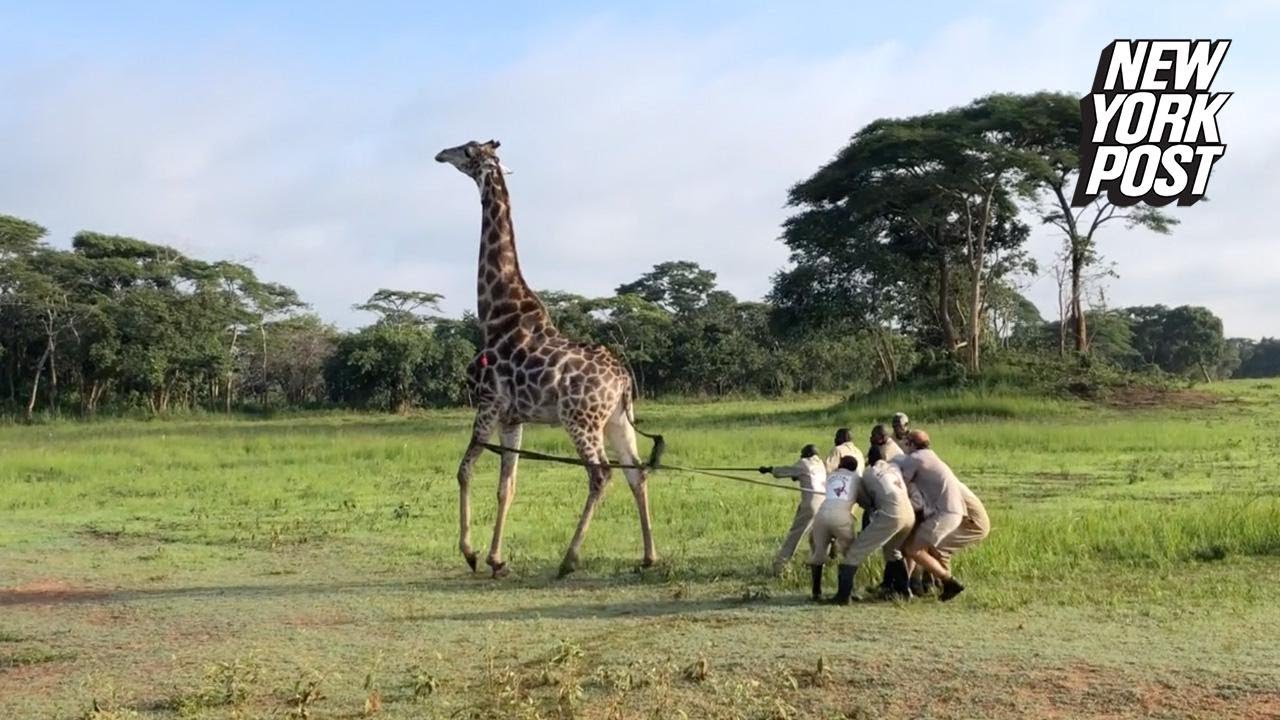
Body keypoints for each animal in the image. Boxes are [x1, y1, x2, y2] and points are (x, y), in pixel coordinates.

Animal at [435, 139, 658, 578]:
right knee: (635, 472)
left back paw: (569, 560)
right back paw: (648, 556)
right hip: (617, 420)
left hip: (580, 419)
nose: (439, 154)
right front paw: (496, 559)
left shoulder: (488, 403)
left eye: (466, 150)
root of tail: (624, 379)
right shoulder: (512, 416)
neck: (495, 311)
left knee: (600, 473)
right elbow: (507, 485)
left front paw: (471, 553)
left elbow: (465, 469)